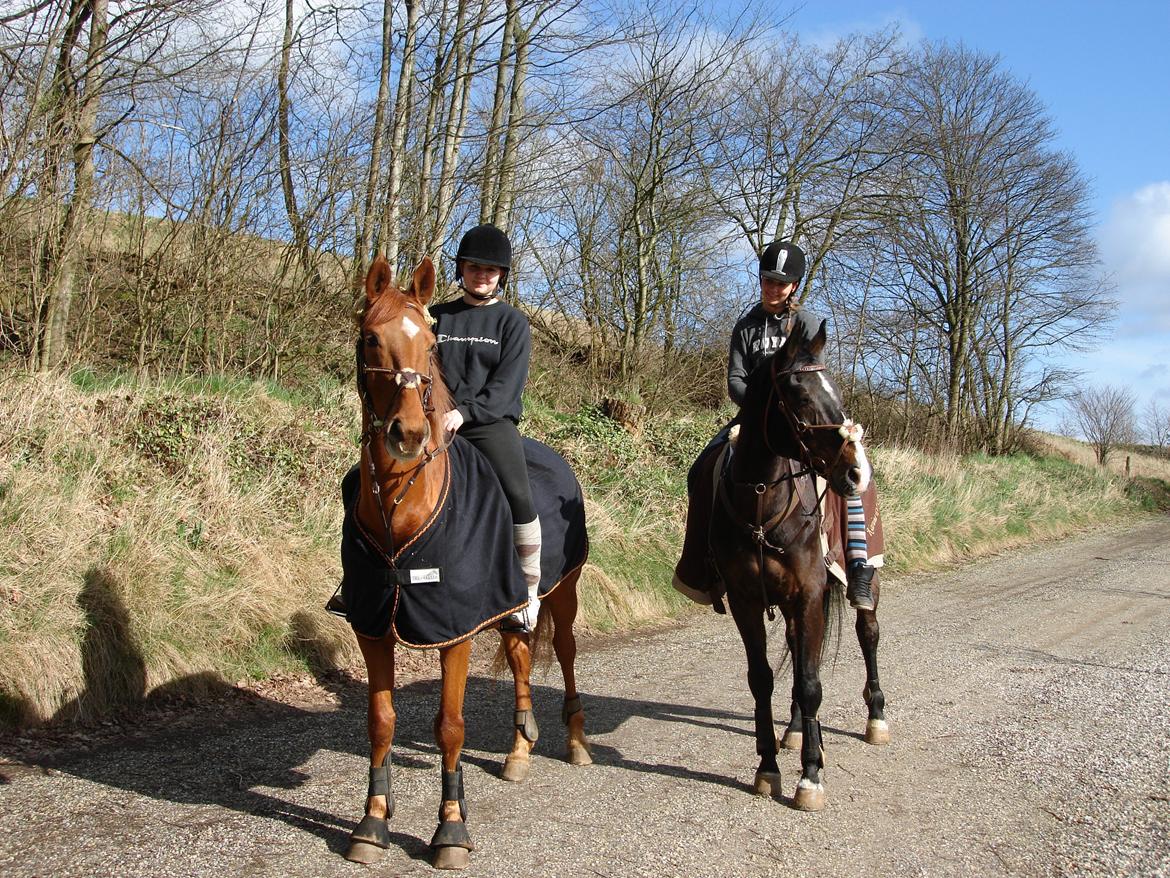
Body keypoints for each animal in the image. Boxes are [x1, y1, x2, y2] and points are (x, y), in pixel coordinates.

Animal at [341, 256, 589, 875]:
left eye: (430, 344)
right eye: (371, 338)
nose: (408, 434)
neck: (403, 508)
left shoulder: (454, 630)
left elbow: (450, 727)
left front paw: (450, 829)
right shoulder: (371, 625)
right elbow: (380, 722)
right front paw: (372, 821)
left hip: (563, 593)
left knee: (564, 653)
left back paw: (576, 741)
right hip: (506, 605)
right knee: (520, 652)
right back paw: (520, 747)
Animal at [702, 320, 884, 814]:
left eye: (835, 389)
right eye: (800, 395)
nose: (856, 471)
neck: (763, 502)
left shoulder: (809, 597)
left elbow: (810, 683)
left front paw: (811, 776)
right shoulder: (747, 603)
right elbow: (763, 679)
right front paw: (768, 767)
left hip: (861, 581)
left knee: (867, 633)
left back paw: (876, 716)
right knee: (800, 651)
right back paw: (800, 730)